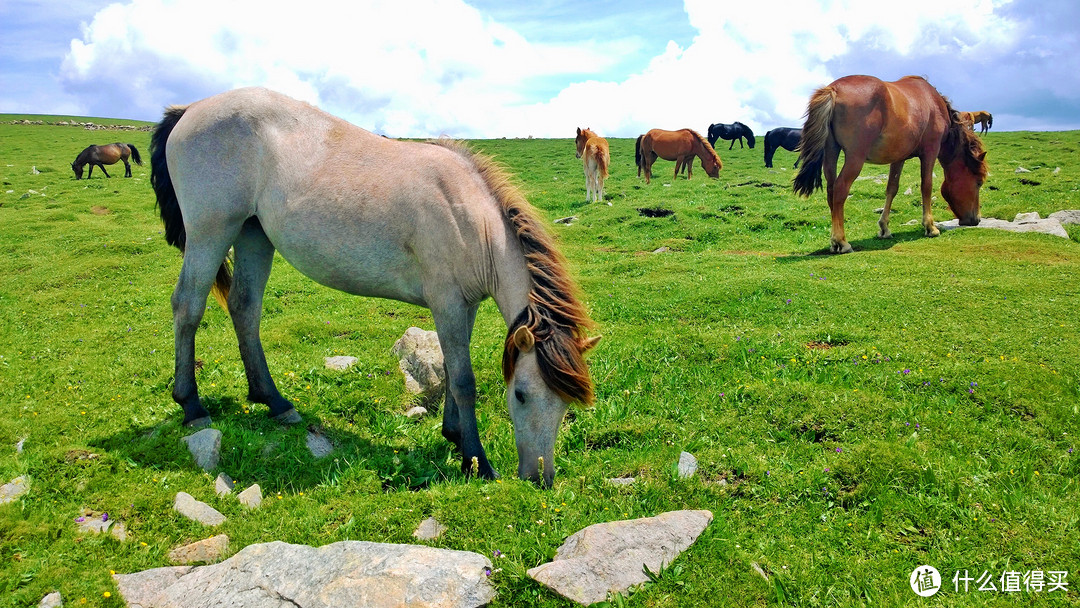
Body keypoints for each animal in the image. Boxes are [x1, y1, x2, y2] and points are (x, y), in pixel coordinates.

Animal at [147, 86, 600, 485]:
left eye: (566, 404)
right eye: (521, 394)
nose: (539, 478)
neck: (469, 217)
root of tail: (189, 109)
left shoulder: (463, 305)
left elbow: (451, 372)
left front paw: (454, 436)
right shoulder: (447, 303)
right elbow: (464, 381)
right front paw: (477, 460)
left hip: (253, 234)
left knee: (244, 307)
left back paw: (274, 402)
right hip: (211, 232)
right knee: (188, 306)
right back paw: (191, 404)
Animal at [794, 74, 989, 254]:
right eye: (979, 182)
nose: (976, 219)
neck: (934, 104)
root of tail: (833, 89)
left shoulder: (898, 157)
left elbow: (892, 188)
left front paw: (884, 228)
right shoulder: (930, 151)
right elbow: (926, 186)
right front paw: (930, 226)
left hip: (831, 152)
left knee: (831, 190)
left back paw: (834, 242)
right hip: (855, 157)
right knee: (841, 188)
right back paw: (841, 241)